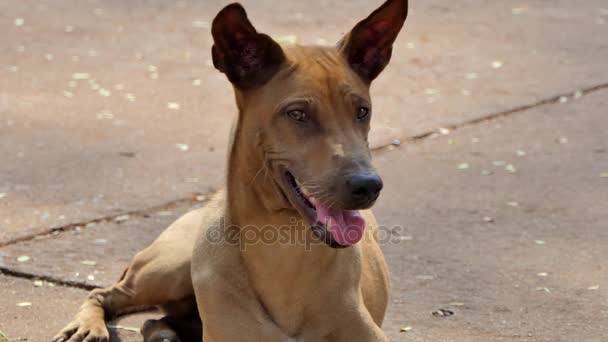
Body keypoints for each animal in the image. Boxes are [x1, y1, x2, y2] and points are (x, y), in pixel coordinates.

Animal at [53, 1, 408, 340]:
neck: (284, 248)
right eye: (297, 114)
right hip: (171, 266)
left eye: (362, 111)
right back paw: (90, 325)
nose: (368, 185)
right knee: (107, 294)